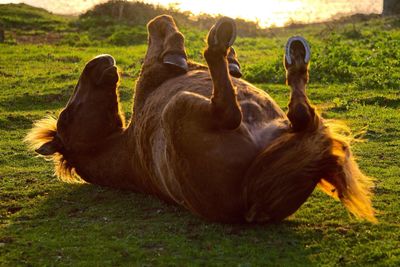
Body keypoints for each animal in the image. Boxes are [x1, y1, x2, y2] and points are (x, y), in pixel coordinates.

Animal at [26, 14, 376, 224]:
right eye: (69, 114)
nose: (98, 61)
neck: (122, 145)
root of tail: (248, 203)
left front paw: (232, 61)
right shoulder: (154, 73)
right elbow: (161, 26)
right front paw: (183, 52)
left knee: (300, 116)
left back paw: (294, 59)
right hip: (179, 106)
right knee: (237, 111)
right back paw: (220, 43)